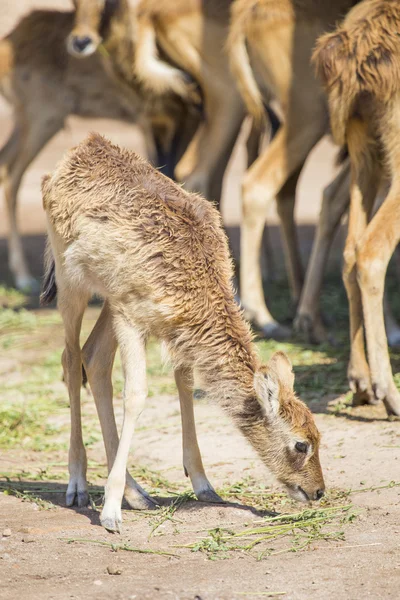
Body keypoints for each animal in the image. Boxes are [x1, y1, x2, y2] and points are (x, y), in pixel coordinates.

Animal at [40, 134, 324, 532]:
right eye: (301, 444)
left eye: (318, 434)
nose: (318, 491)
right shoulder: (130, 316)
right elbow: (136, 394)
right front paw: (110, 513)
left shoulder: (163, 325)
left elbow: (186, 383)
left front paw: (204, 484)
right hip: (70, 280)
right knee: (70, 360)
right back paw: (79, 485)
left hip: (109, 298)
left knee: (93, 359)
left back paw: (138, 494)